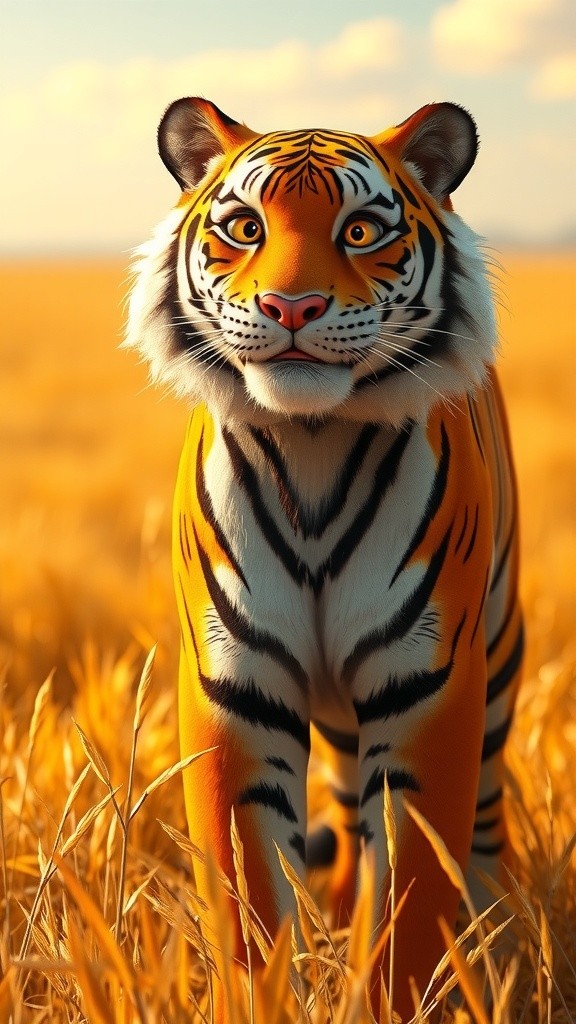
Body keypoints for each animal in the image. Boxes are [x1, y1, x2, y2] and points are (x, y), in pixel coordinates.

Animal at [125, 96, 523, 1021]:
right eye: (245, 227)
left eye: (361, 230)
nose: (292, 306)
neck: (310, 444)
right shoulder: (236, 686)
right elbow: (248, 893)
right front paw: (272, 989)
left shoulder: (428, 688)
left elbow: (412, 886)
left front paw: (399, 989)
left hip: (499, 651)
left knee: (485, 822)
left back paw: (496, 940)